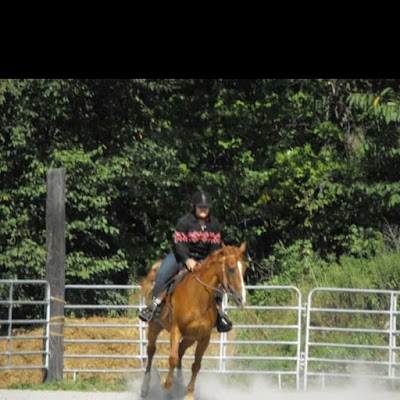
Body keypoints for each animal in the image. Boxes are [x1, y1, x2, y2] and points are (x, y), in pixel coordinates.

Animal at [140, 242, 247, 398]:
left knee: (180, 351)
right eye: (231, 269)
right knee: (151, 350)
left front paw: (189, 394)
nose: (241, 299)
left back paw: (179, 383)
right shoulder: (176, 329)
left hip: (190, 337)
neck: (198, 298)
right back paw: (145, 387)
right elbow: (172, 359)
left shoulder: (204, 338)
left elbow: (196, 365)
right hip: (155, 326)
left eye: (244, 269)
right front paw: (166, 383)